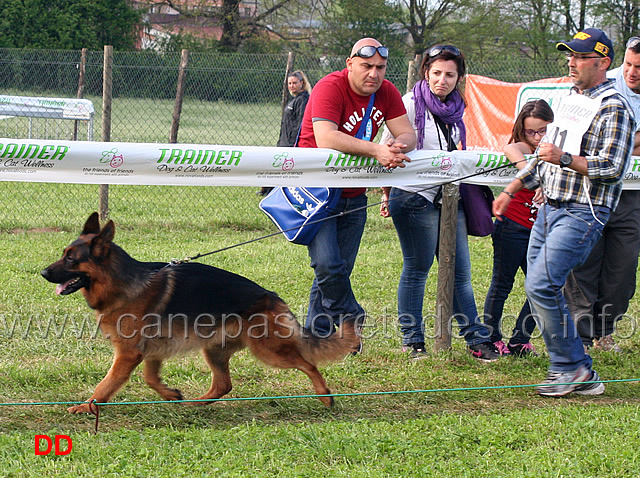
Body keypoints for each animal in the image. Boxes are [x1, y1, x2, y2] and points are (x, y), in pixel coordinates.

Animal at [42, 213, 358, 414]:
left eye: (71, 259)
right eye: (63, 253)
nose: (43, 272)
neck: (120, 282)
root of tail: (271, 297)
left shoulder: (129, 353)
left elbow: (106, 384)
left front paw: (87, 406)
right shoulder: (151, 351)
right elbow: (150, 378)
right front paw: (171, 395)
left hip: (268, 351)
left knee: (308, 363)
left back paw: (326, 397)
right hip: (215, 350)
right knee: (223, 384)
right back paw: (196, 404)